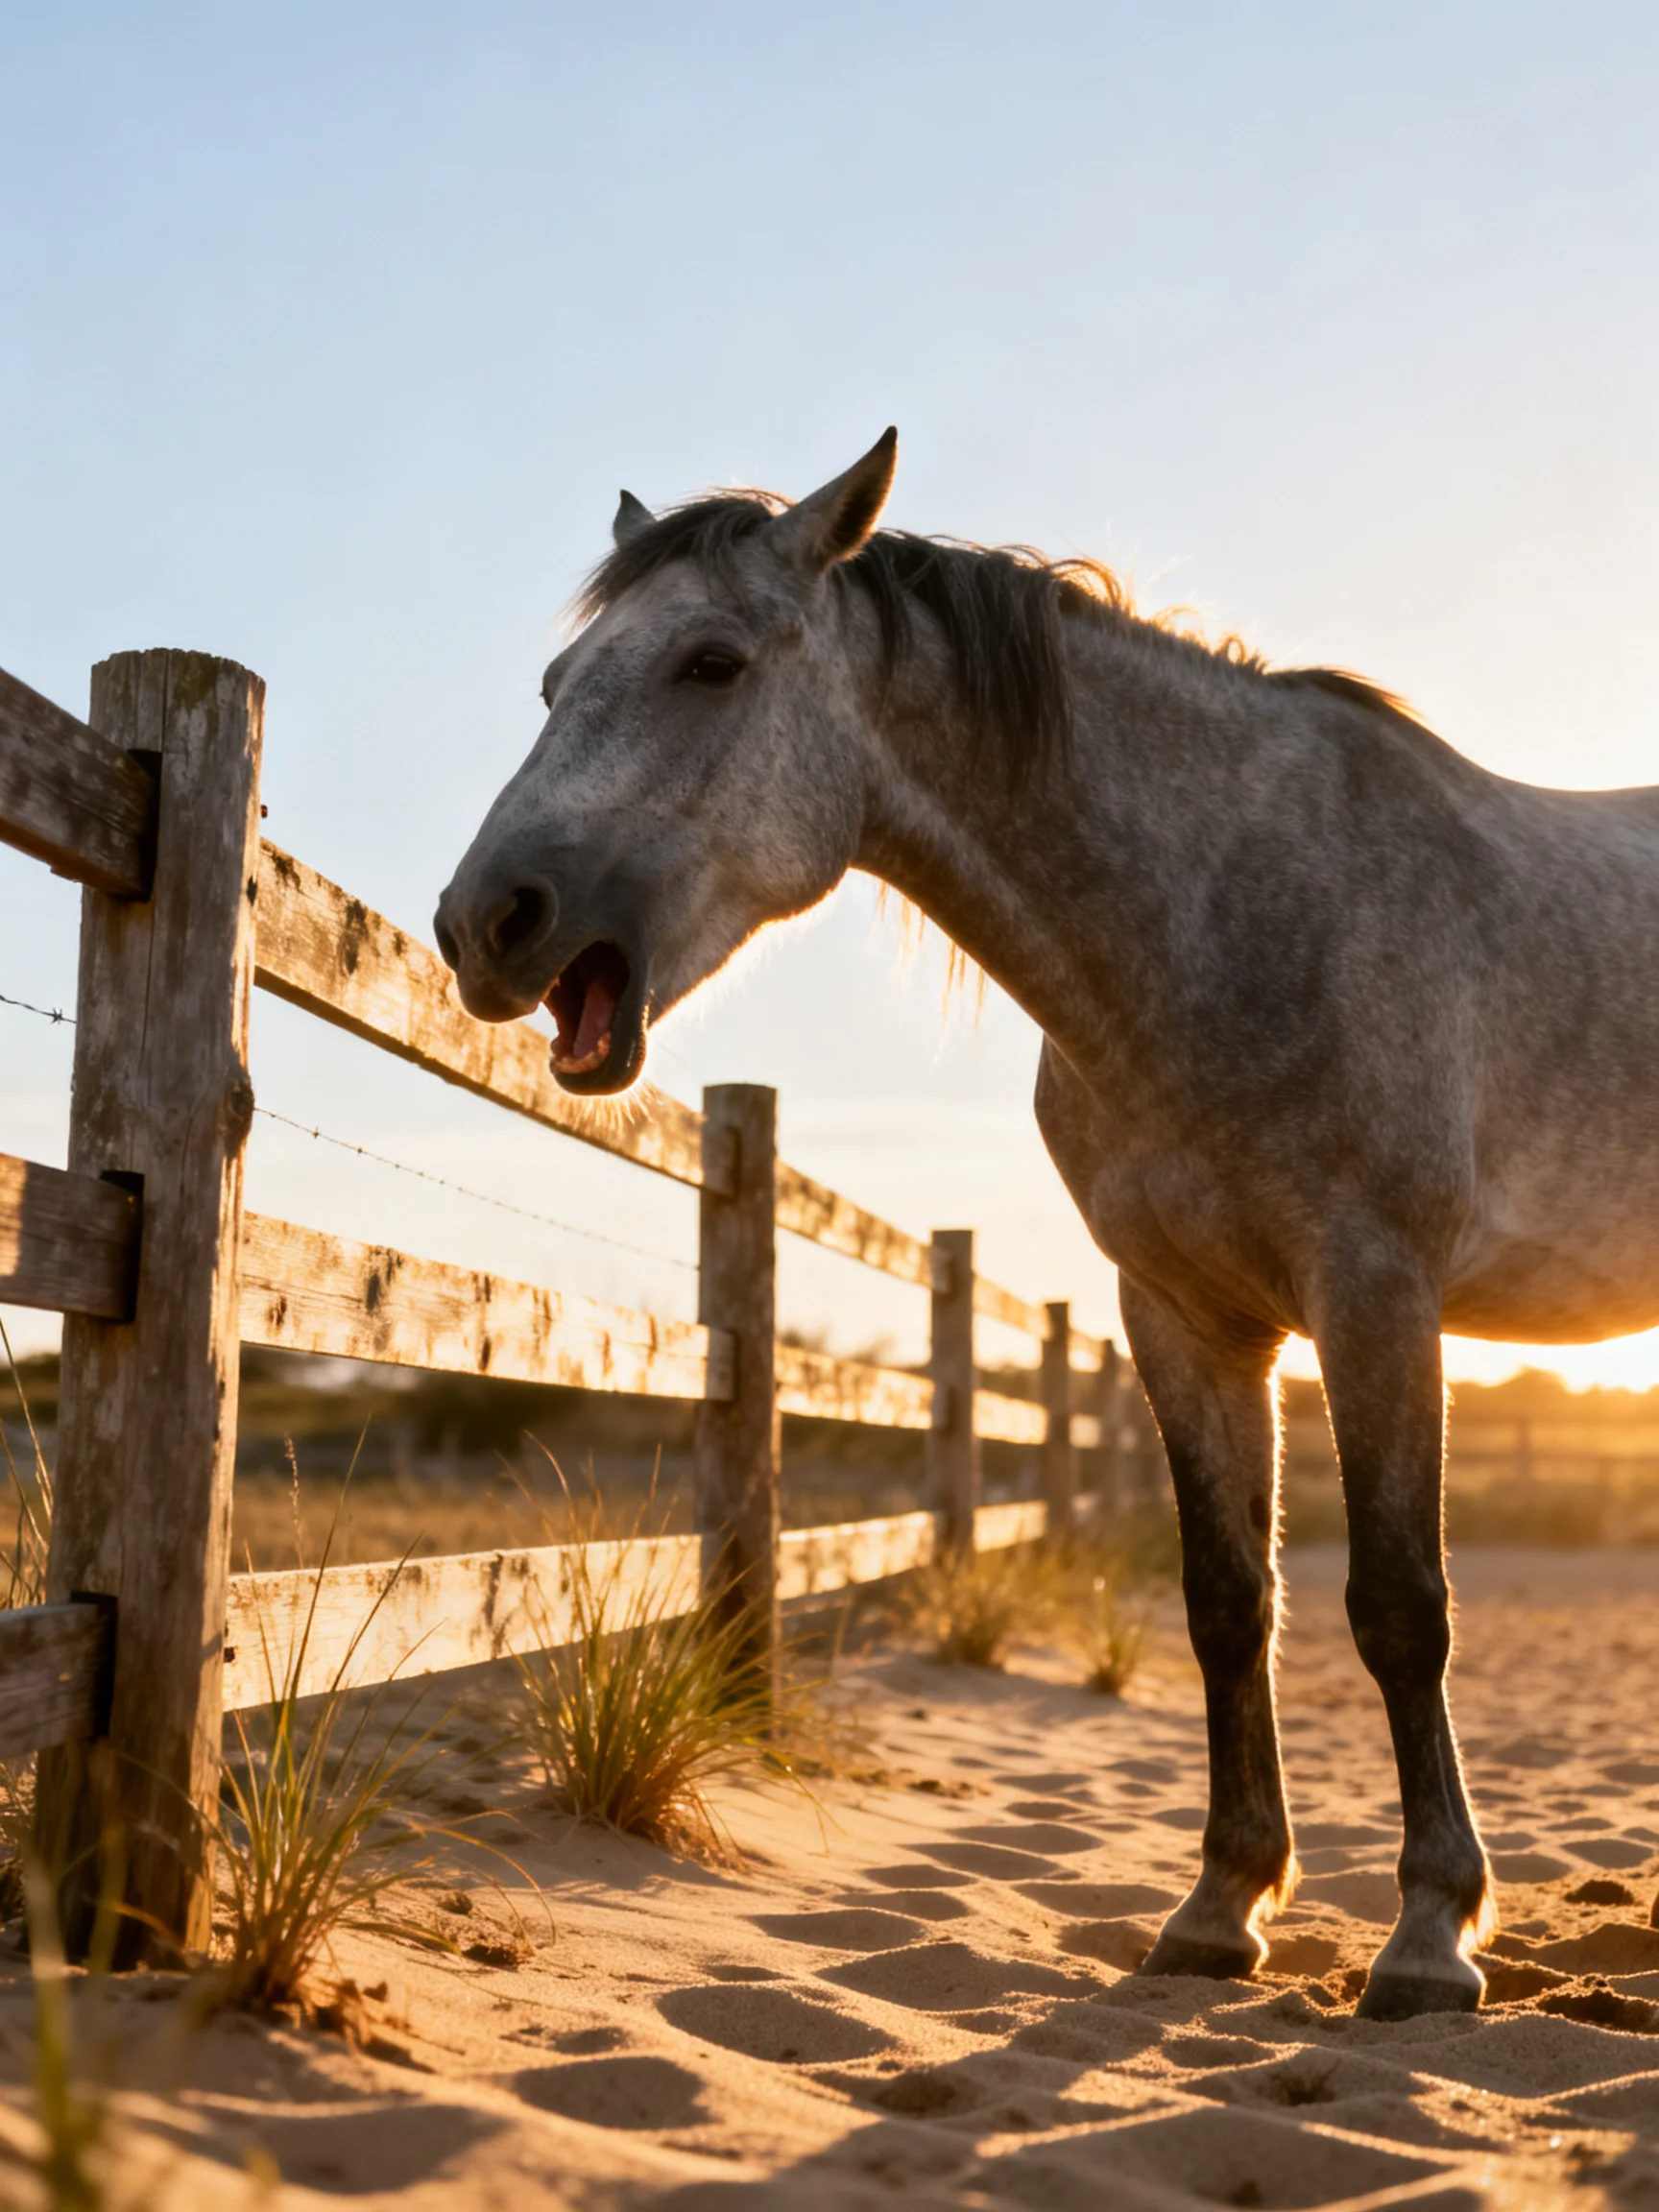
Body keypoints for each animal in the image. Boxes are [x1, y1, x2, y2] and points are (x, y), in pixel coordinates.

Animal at [434, 430, 1659, 2019]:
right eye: (551, 685)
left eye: (711, 664)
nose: (483, 923)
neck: (1233, 913)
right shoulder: (1183, 1316)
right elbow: (1227, 1604)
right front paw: (1220, 1907)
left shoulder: (1376, 1292)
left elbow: (1400, 1604)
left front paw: (1431, 1931)